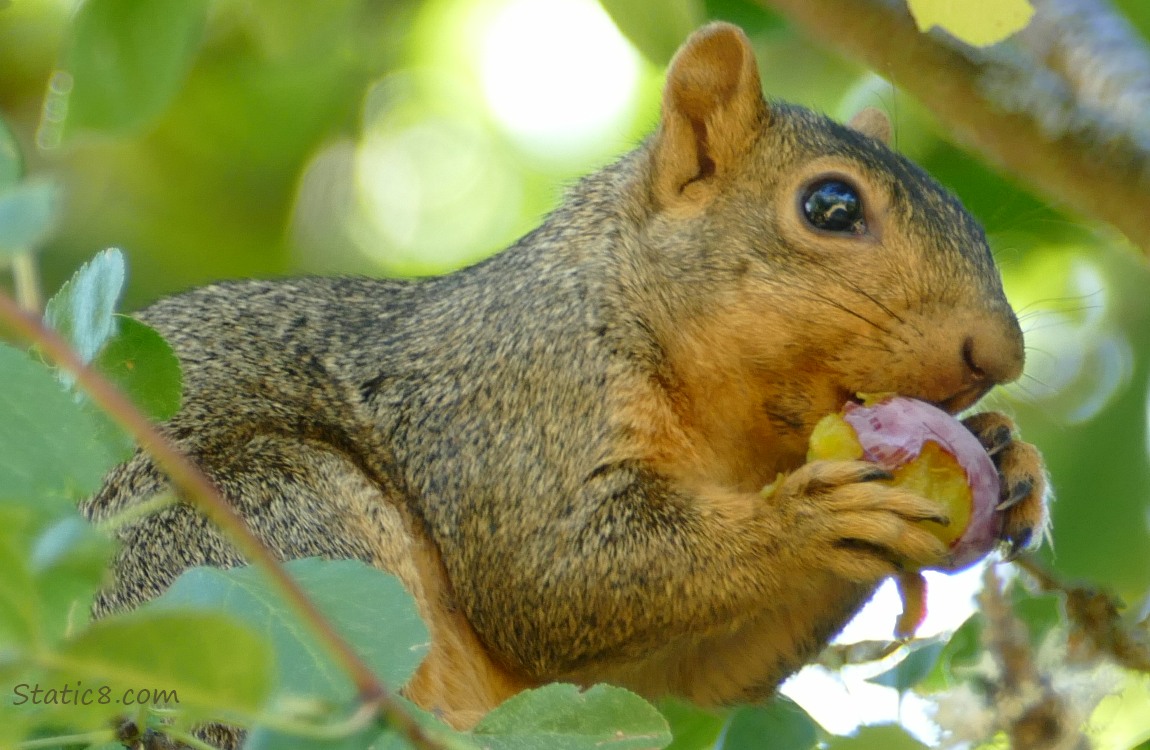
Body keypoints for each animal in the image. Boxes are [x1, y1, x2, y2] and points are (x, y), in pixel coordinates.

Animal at [83, 21, 1053, 745]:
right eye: (830, 206)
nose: (1000, 355)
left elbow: (686, 669)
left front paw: (1009, 457)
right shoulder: (513, 398)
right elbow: (547, 577)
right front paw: (813, 517)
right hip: (252, 531)